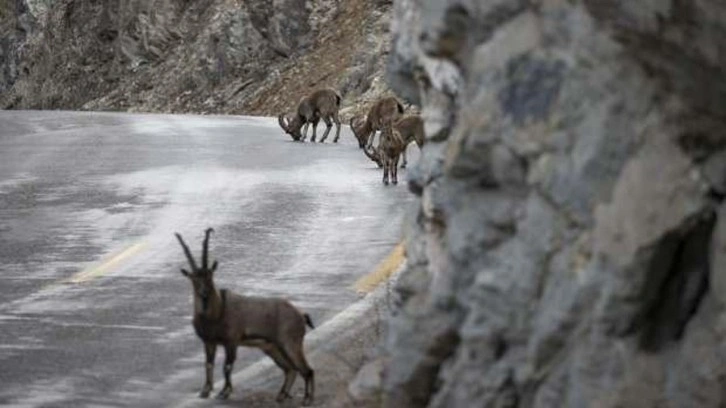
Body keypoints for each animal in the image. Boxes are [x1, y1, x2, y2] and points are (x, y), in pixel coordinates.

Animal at [176, 230, 316, 404]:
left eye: (210, 276)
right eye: (194, 278)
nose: (204, 293)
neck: (217, 311)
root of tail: (301, 314)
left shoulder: (231, 341)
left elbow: (227, 366)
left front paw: (224, 392)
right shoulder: (209, 341)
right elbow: (208, 364)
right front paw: (205, 391)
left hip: (290, 343)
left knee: (307, 370)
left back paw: (307, 399)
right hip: (272, 347)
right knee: (290, 369)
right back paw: (281, 395)